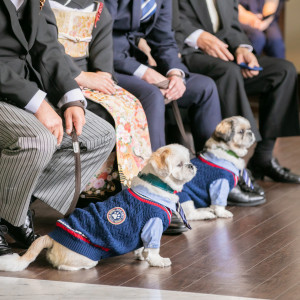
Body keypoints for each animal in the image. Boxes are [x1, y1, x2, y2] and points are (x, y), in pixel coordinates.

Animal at [0, 145, 197, 272]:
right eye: (179, 164)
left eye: (188, 161)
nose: (191, 165)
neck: (156, 185)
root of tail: (51, 237)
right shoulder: (153, 225)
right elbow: (154, 249)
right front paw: (158, 261)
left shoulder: (143, 232)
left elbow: (143, 247)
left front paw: (142, 255)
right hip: (85, 257)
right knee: (65, 265)